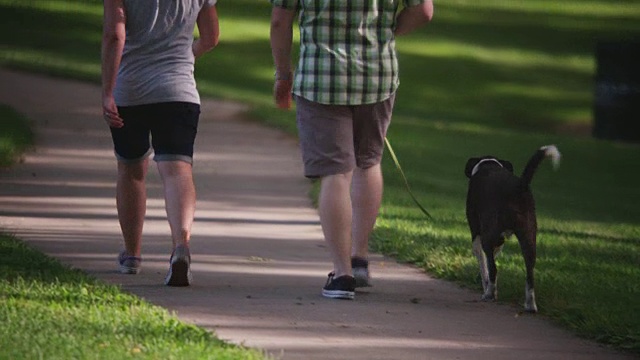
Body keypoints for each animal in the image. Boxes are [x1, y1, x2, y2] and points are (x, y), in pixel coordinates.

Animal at [464, 145, 560, 314]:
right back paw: (530, 305)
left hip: (488, 234)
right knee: (530, 273)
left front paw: (486, 284)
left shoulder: (478, 234)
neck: (488, 164)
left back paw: (489, 294)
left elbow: (485, 265)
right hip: (529, 237)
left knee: (494, 269)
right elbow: (491, 257)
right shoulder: (499, 239)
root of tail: (519, 186)